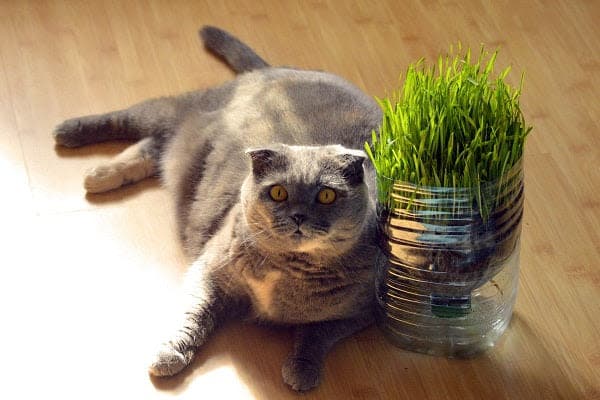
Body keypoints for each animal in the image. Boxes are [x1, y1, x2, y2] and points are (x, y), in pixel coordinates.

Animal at [55, 26, 384, 392]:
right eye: (279, 192)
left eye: (326, 196)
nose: (298, 216)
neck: (287, 269)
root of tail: (277, 68)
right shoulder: (210, 271)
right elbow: (192, 317)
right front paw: (168, 356)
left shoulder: (360, 312)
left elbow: (317, 333)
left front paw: (302, 370)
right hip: (183, 112)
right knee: (138, 119)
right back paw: (72, 137)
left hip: (186, 147)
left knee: (156, 148)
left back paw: (100, 175)